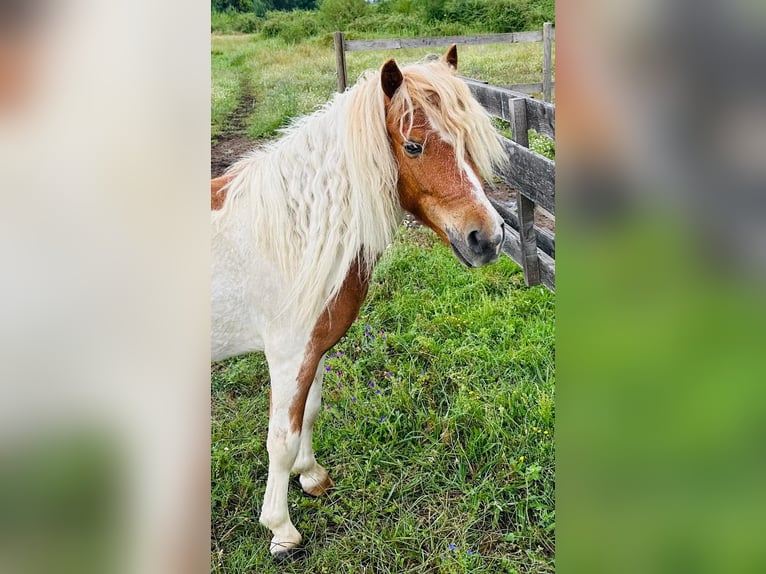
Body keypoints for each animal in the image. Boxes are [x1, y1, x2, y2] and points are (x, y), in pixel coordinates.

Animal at [210, 45, 507, 558]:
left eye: (469, 139)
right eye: (413, 146)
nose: (487, 238)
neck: (297, 232)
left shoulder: (314, 349)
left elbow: (309, 413)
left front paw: (311, 478)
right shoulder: (288, 355)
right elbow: (281, 439)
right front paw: (281, 530)